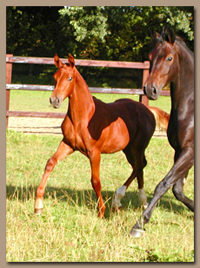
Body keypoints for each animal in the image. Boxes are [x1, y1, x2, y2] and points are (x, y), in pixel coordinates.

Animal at [34, 54, 155, 218]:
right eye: (55, 77)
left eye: (70, 78)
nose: (54, 100)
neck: (83, 117)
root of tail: (149, 111)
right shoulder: (68, 144)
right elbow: (50, 163)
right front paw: (38, 206)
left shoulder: (94, 152)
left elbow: (95, 181)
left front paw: (101, 212)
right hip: (128, 149)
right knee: (138, 166)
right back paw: (141, 202)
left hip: (138, 146)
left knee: (140, 165)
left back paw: (119, 199)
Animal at [130, 27, 194, 237]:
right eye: (151, 57)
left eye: (169, 58)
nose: (150, 89)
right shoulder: (180, 151)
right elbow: (178, 190)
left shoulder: (190, 151)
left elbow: (163, 184)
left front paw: (138, 225)